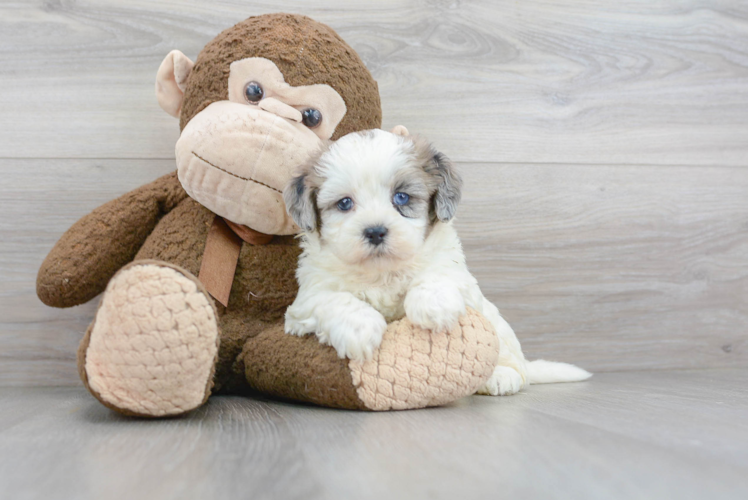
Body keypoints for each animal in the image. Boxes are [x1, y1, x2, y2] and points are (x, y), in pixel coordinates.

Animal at [282, 126, 592, 394]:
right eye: (344, 203)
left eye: (401, 197)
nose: (375, 231)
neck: (384, 272)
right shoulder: (305, 301)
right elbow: (332, 299)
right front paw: (359, 328)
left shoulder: (455, 270)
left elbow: (439, 275)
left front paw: (432, 306)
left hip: (499, 331)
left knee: (513, 362)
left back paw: (502, 376)